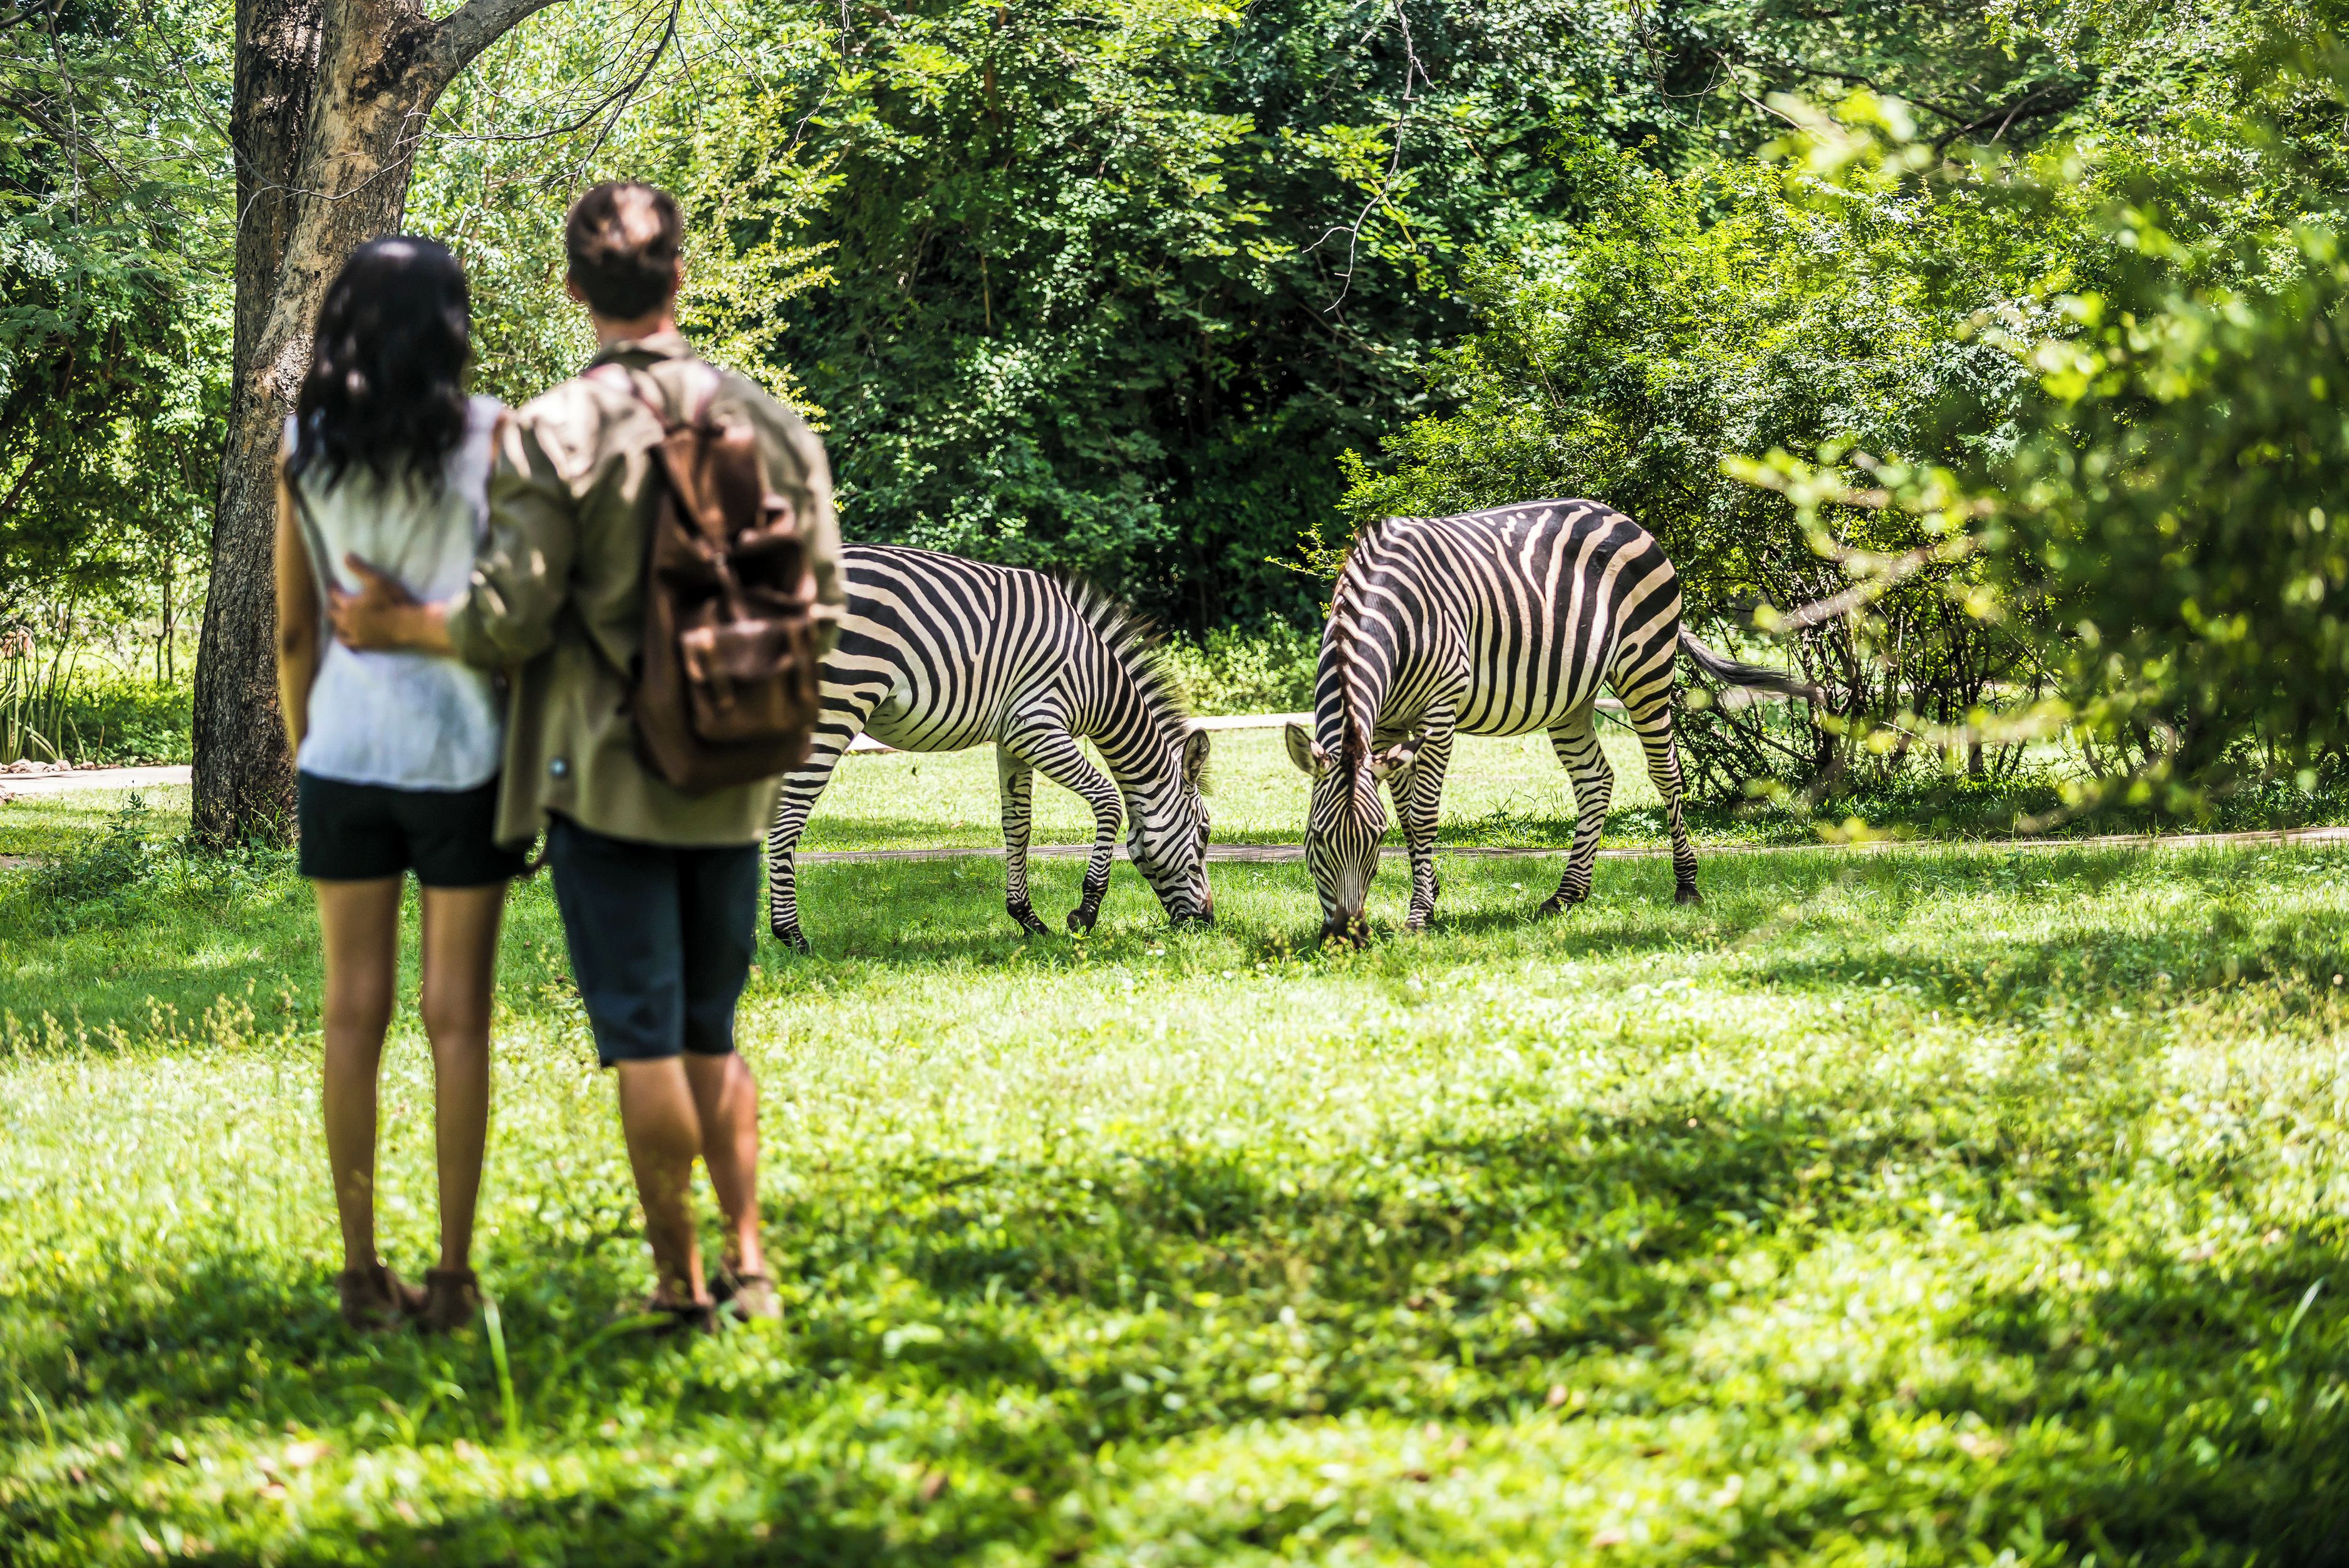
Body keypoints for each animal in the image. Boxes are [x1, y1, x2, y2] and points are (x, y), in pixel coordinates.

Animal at [767, 544, 1214, 949]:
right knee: (789, 815)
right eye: (1206, 834)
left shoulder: (1012, 740)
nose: (1208, 921)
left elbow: (1018, 825)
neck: (1097, 683)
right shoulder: (1038, 727)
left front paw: (1028, 920)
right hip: (838, 702)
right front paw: (1086, 911)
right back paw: (792, 937)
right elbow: (1108, 800)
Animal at [1285, 499, 1814, 942]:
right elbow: (1408, 818)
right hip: (1571, 696)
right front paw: (1430, 897)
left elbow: (1422, 814)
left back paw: (1686, 885)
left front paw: (1419, 916)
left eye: (1374, 843)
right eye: (1316, 839)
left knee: (1666, 773)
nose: (1346, 937)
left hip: (1646, 665)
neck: (1387, 609)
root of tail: (1622, 516)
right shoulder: (1391, 724)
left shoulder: (1439, 706)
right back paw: (1566, 895)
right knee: (1596, 779)